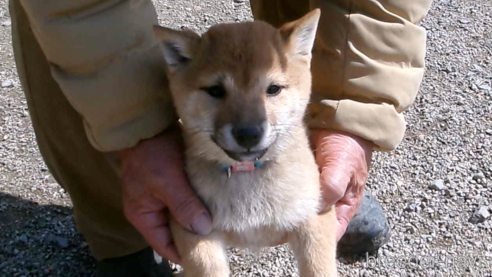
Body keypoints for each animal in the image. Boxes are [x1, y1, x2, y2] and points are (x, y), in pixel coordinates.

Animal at [154, 8, 338, 276]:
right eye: (215, 90)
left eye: (273, 89)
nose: (248, 134)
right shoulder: (193, 228)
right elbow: (208, 267)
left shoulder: (314, 215)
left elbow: (319, 267)